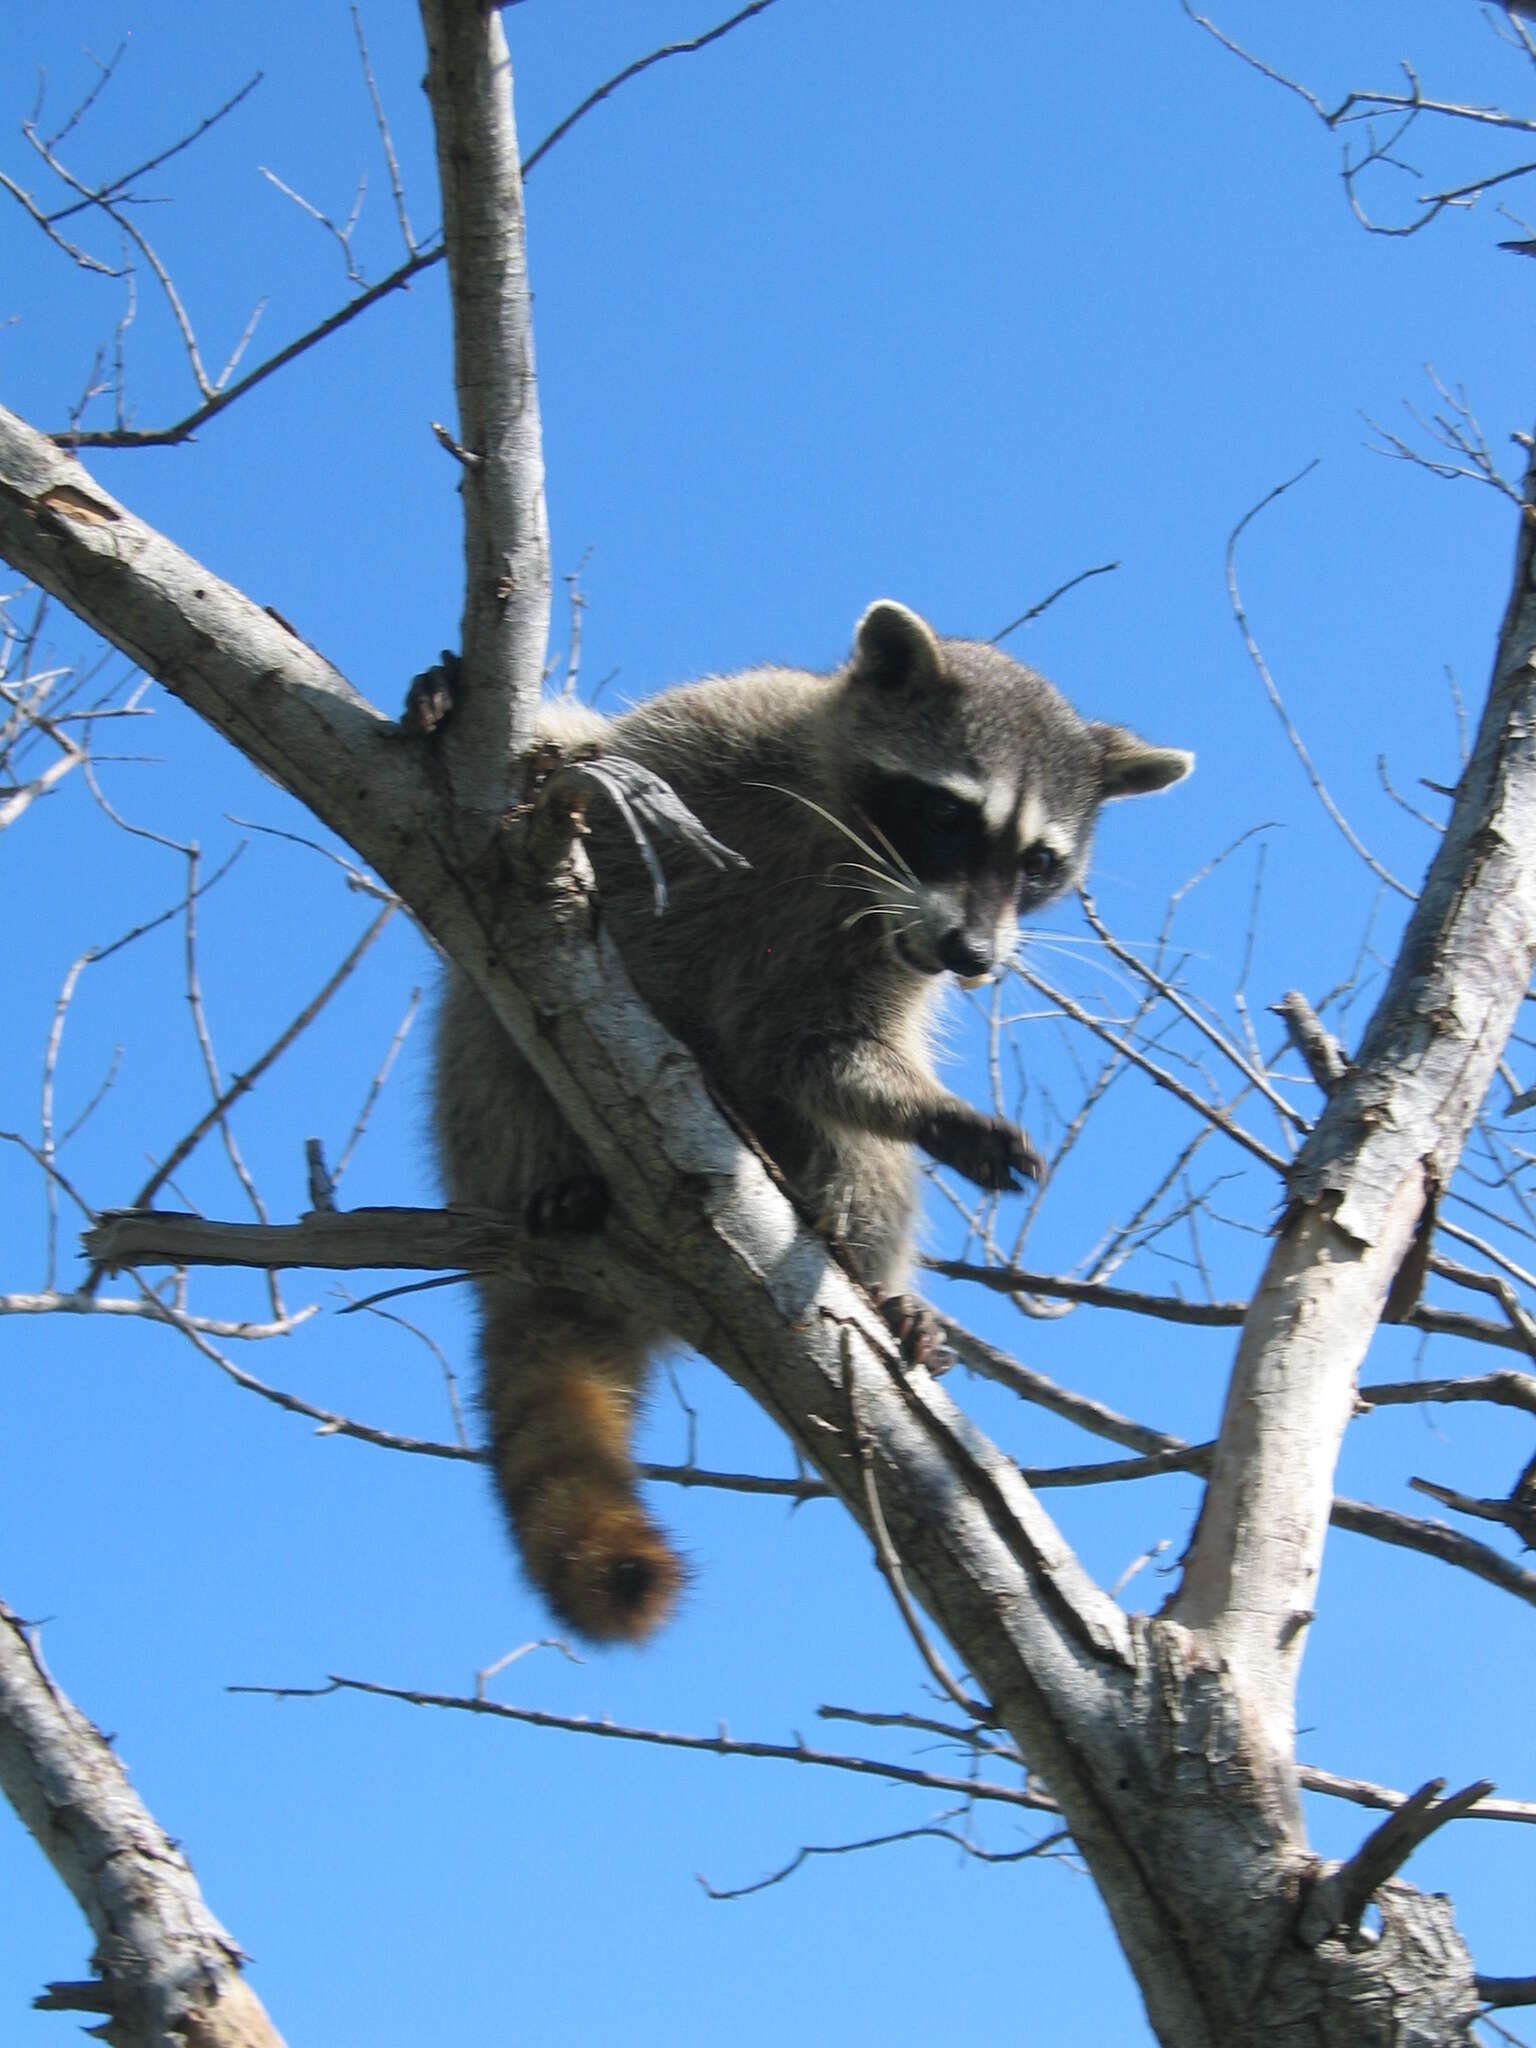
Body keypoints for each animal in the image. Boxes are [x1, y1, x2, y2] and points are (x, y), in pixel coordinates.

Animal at [434, 598, 1187, 1638]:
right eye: (948, 814)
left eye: (1041, 864)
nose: (974, 958)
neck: (850, 842)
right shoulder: (703, 738)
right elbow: (571, 759)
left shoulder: (878, 950)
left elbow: (828, 1055)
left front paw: (931, 1112)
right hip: (480, 1101)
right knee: (491, 1034)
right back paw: (555, 1178)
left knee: (864, 1163)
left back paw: (880, 1281)